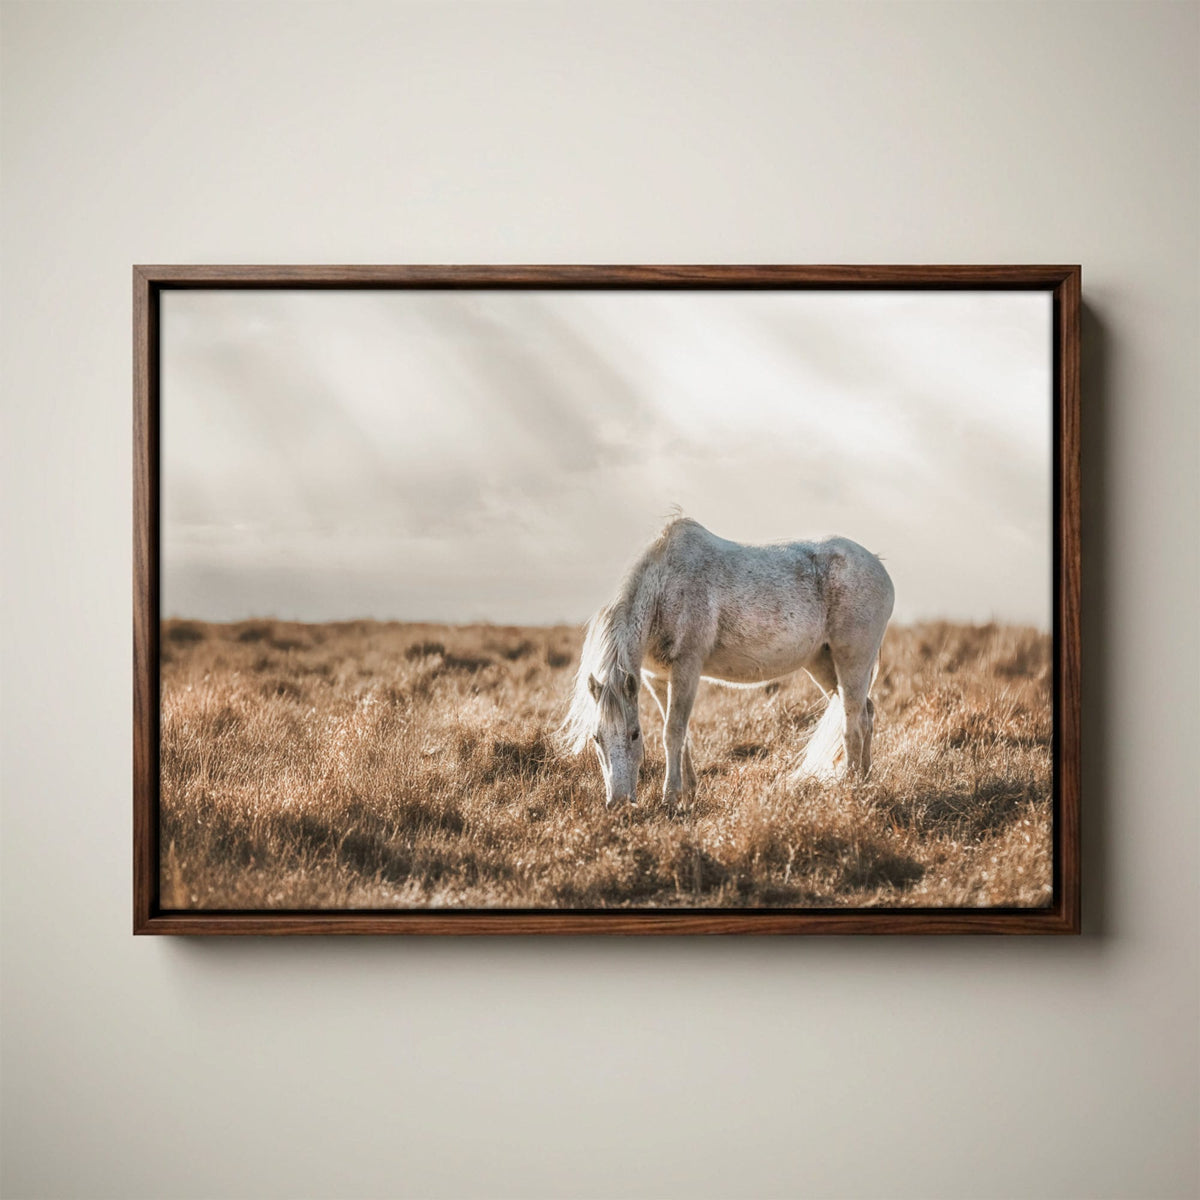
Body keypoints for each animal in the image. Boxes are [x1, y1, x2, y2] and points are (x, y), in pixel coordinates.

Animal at [562, 516, 894, 809]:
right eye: (596, 738)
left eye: (634, 734)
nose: (618, 802)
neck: (663, 588)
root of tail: (877, 564)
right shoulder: (657, 679)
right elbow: (681, 735)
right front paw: (688, 793)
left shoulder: (687, 669)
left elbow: (673, 732)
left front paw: (670, 799)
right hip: (823, 664)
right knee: (866, 713)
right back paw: (867, 781)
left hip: (852, 661)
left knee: (853, 722)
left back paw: (852, 787)